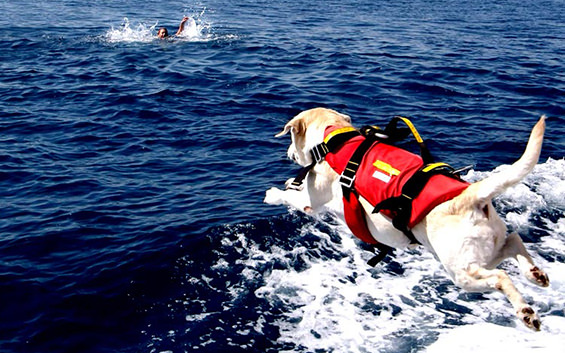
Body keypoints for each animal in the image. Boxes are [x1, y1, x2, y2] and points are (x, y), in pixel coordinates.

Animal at [264, 106, 548, 328]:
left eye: (291, 137)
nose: (288, 153)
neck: (332, 139)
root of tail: (470, 196)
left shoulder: (312, 200)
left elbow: (293, 197)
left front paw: (274, 193)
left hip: (461, 271)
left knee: (500, 277)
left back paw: (526, 312)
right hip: (481, 251)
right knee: (514, 241)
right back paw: (534, 273)